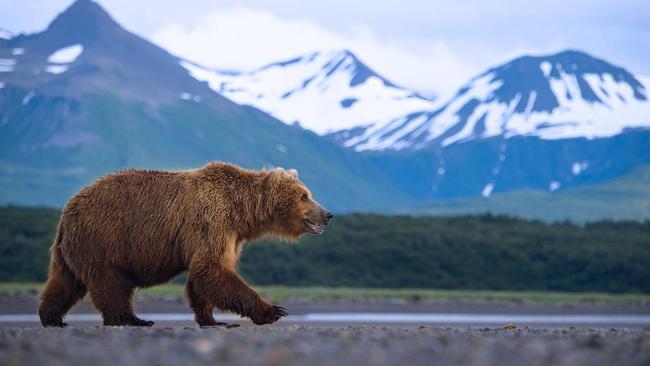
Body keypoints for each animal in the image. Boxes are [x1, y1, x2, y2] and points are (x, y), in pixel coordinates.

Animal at [38, 162, 332, 328]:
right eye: (304, 196)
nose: (327, 214)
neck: (242, 211)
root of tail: (68, 210)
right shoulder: (212, 221)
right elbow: (211, 270)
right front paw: (273, 311)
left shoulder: (229, 235)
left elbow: (204, 276)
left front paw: (213, 320)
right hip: (104, 238)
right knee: (110, 283)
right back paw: (132, 319)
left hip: (73, 247)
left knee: (65, 281)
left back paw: (52, 318)